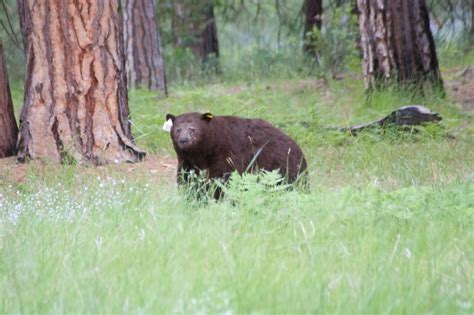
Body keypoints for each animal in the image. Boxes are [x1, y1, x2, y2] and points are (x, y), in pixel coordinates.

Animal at [166, 112, 308, 196]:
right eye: (178, 129)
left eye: (192, 129)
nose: (184, 140)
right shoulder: (187, 161)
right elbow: (187, 180)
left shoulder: (226, 153)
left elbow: (224, 179)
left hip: (284, 166)